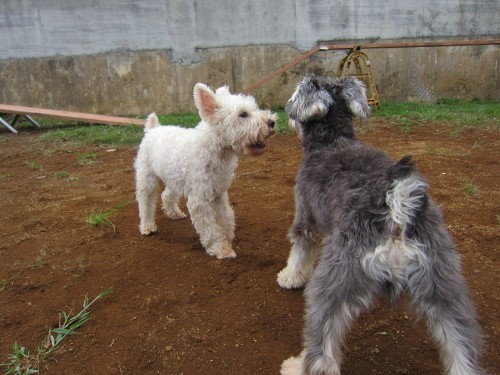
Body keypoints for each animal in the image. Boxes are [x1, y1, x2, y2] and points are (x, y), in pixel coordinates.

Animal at [134, 82, 278, 260]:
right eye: (243, 114)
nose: (272, 122)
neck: (215, 150)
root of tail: (153, 129)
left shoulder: (219, 194)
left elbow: (226, 217)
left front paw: (228, 236)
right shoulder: (199, 200)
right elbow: (211, 229)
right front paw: (222, 249)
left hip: (173, 178)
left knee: (166, 195)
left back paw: (174, 213)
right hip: (147, 178)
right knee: (145, 202)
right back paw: (147, 226)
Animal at [278, 74, 484, 375]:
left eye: (295, 94)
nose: (287, 113)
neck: (332, 140)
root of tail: (396, 209)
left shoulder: (306, 218)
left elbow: (299, 251)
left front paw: (290, 277)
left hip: (337, 275)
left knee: (323, 342)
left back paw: (298, 365)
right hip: (442, 283)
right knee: (461, 345)